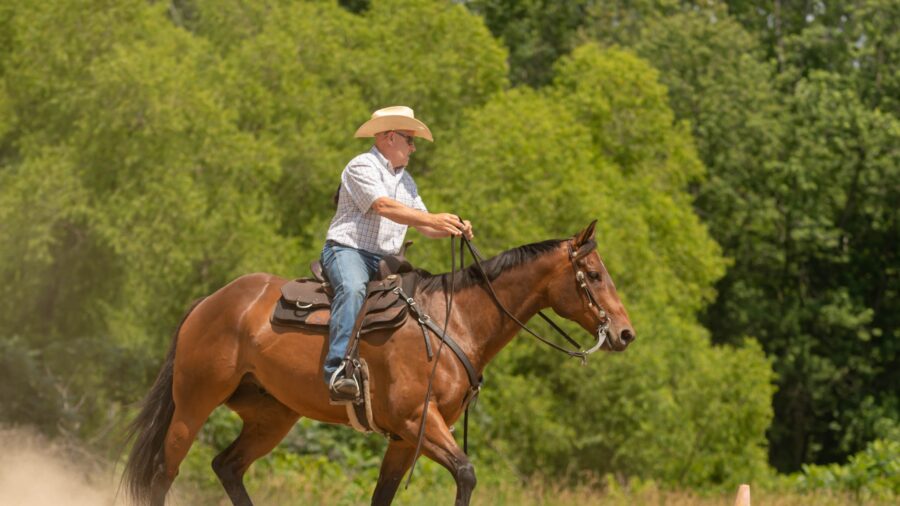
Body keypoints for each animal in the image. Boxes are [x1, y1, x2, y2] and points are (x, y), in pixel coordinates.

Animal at [122, 221, 635, 506]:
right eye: (593, 275)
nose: (625, 333)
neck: (455, 322)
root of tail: (210, 302)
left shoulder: (406, 438)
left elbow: (382, 496)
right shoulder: (418, 420)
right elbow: (466, 474)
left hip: (272, 417)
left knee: (227, 467)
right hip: (193, 405)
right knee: (163, 475)